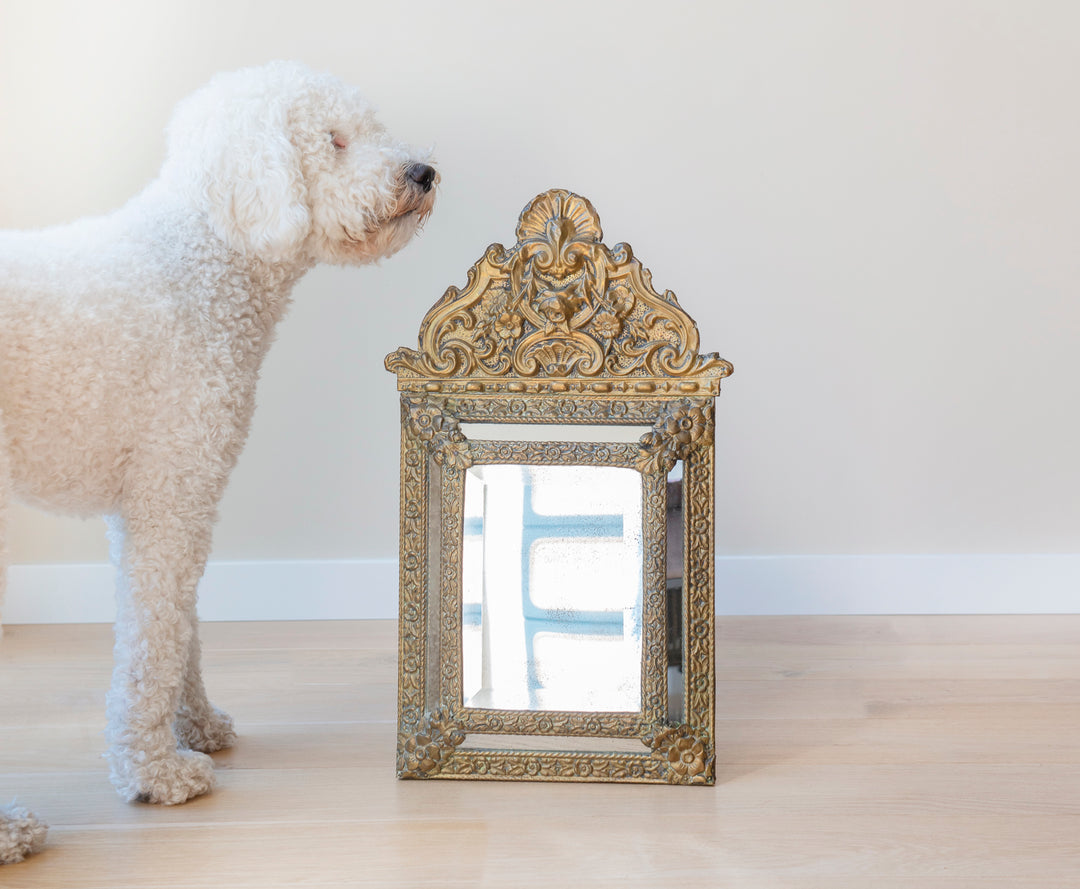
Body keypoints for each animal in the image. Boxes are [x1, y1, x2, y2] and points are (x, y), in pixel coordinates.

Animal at [1, 59, 438, 864]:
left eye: (373, 127)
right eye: (334, 139)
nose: (423, 172)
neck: (202, 260)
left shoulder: (158, 504)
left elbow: (182, 630)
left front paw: (197, 726)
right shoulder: (172, 492)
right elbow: (154, 642)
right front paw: (156, 772)